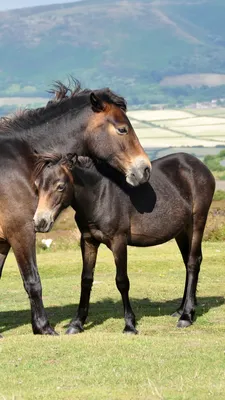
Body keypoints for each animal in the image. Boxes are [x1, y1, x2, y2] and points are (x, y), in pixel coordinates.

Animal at [34, 152, 215, 332]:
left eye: (60, 186)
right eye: (37, 186)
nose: (40, 222)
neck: (100, 195)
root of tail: (198, 165)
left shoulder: (118, 242)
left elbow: (122, 281)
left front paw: (129, 324)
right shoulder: (88, 241)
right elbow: (86, 280)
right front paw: (77, 323)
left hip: (197, 222)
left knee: (193, 263)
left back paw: (186, 316)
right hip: (181, 230)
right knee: (187, 262)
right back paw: (181, 309)